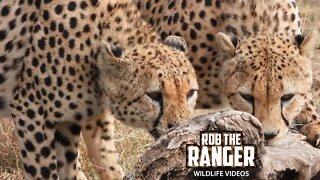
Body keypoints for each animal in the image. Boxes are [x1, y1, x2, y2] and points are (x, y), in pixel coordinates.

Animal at [0, 0, 198, 179]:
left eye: (190, 93)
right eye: (155, 95)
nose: (180, 128)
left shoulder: (70, 122)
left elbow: (97, 161)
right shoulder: (30, 110)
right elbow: (44, 171)